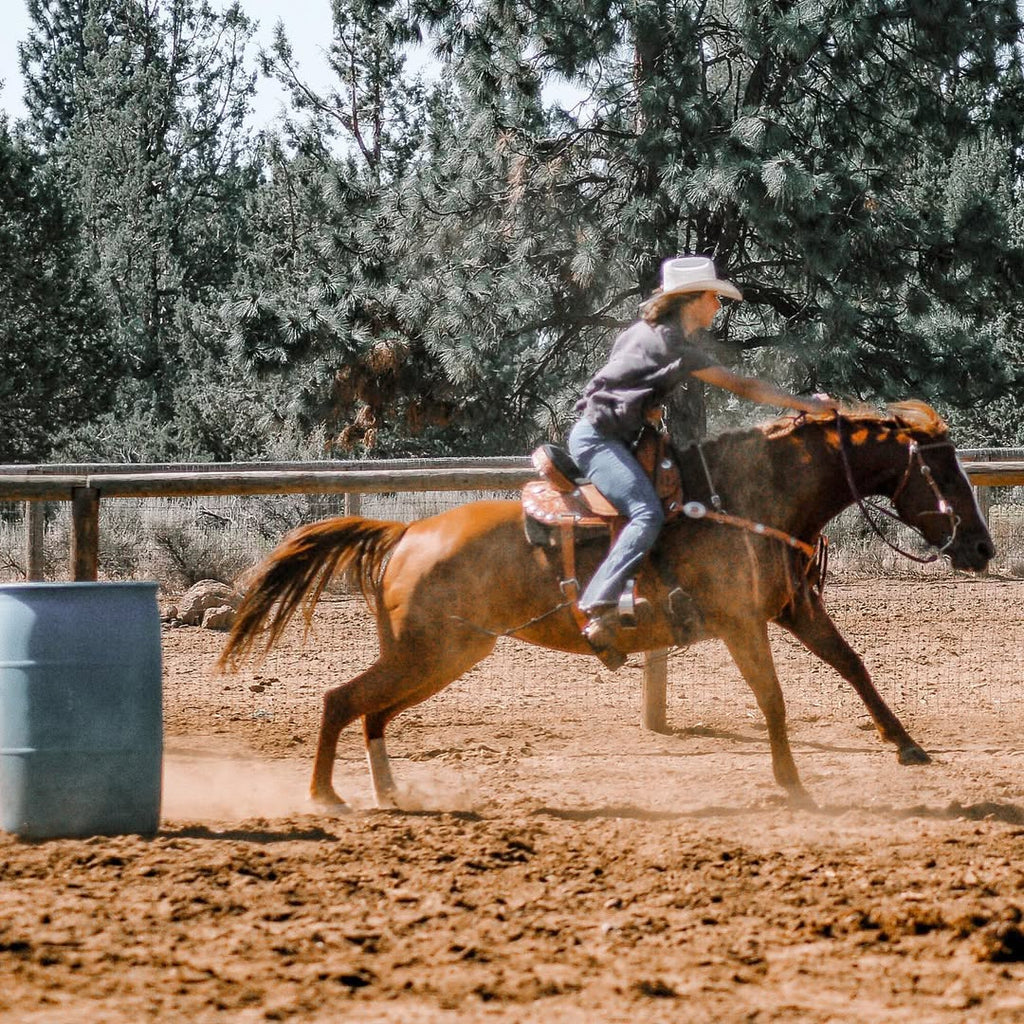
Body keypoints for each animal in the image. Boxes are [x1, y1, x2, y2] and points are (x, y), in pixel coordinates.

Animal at [218, 401, 994, 810]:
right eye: (945, 473)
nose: (982, 547)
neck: (750, 497)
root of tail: (405, 532)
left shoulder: (793, 611)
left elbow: (854, 666)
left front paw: (906, 744)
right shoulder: (743, 624)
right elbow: (773, 700)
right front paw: (793, 785)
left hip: (441, 654)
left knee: (372, 711)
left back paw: (389, 793)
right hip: (432, 651)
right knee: (341, 700)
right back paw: (327, 795)